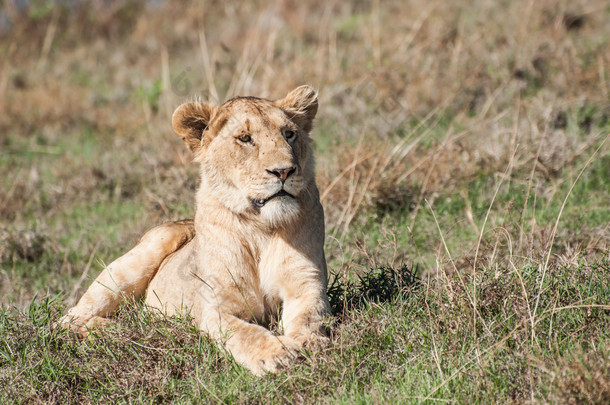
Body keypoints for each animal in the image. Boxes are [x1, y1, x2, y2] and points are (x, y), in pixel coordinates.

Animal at [58, 85, 328, 372]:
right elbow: (246, 333)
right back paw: (118, 329)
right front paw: (278, 354)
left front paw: (310, 346)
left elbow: (311, 319)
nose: (284, 171)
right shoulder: (217, 305)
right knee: (67, 319)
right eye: (245, 139)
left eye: (289, 134)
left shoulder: (306, 284)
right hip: (133, 262)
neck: (261, 228)